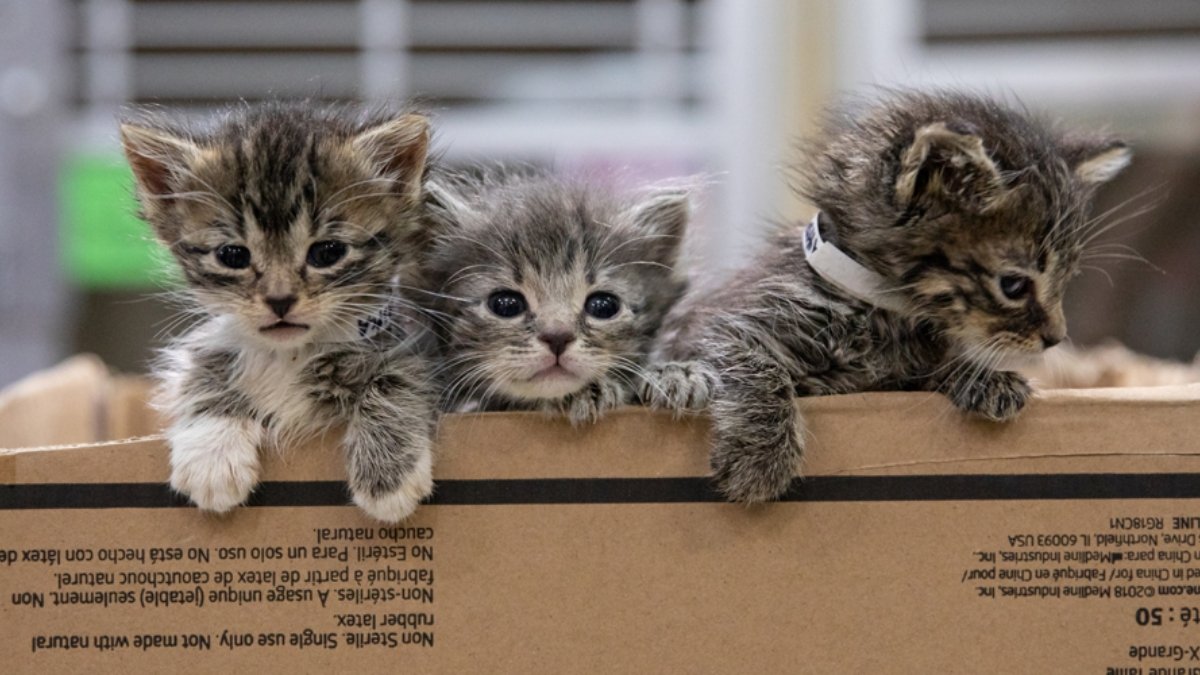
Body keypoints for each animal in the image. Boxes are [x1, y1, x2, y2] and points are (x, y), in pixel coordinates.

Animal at [121, 100, 439, 521]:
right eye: (233, 255)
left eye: (328, 252)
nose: (280, 299)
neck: (289, 354)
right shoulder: (214, 338)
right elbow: (201, 368)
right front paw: (212, 454)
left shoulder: (419, 341)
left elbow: (400, 376)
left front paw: (388, 476)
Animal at [657, 89, 1132, 499]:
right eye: (1013, 286)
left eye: (1067, 277)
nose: (1055, 337)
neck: (883, 313)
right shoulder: (716, 326)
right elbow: (755, 364)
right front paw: (761, 456)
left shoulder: (899, 377)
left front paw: (984, 378)